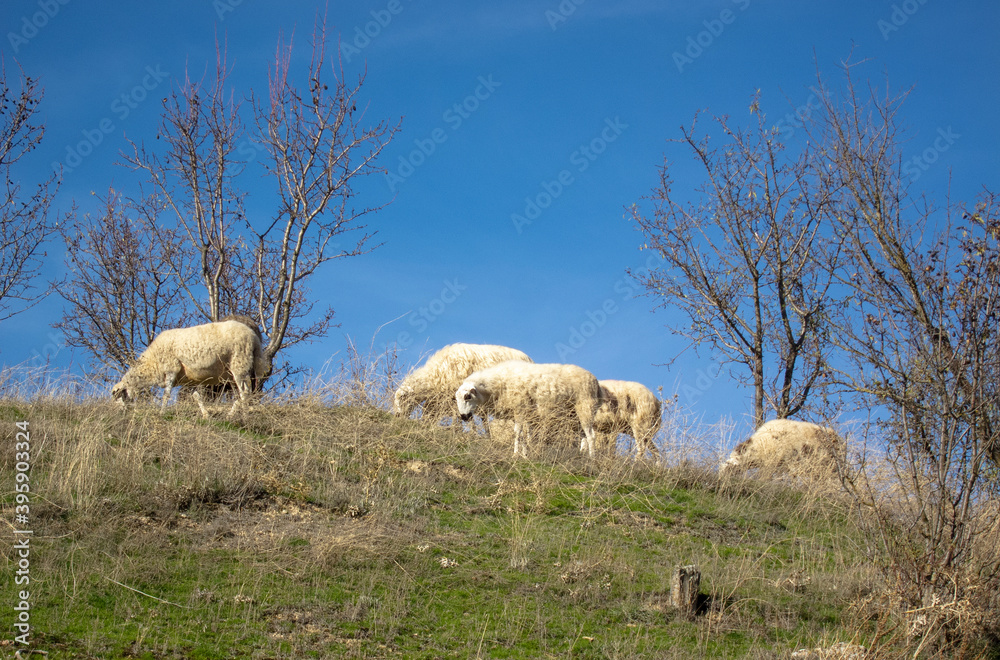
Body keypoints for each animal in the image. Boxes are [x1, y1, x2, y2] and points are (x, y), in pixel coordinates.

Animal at [111, 320, 268, 417]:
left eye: (118, 396)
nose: (119, 413)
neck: (151, 364)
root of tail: (254, 337)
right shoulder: (188, 380)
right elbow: (196, 397)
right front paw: (205, 415)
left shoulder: (171, 369)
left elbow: (166, 394)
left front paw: (162, 412)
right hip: (235, 370)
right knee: (241, 393)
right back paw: (235, 413)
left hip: (239, 363)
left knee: (245, 392)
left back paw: (240, 416)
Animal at [455, 361, 603, 457]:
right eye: (456, 399)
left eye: (467, 396)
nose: (464, 417)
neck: (497, 384)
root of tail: (595, 381)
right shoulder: (523, 413)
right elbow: (524, 434)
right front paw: (525, 453)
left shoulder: (520, 409)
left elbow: (517, 433)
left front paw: (515, 454)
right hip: (575, 413)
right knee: (583, 434)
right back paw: (582, 454)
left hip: (586, 406)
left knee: (591, 435)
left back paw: (591, 458)